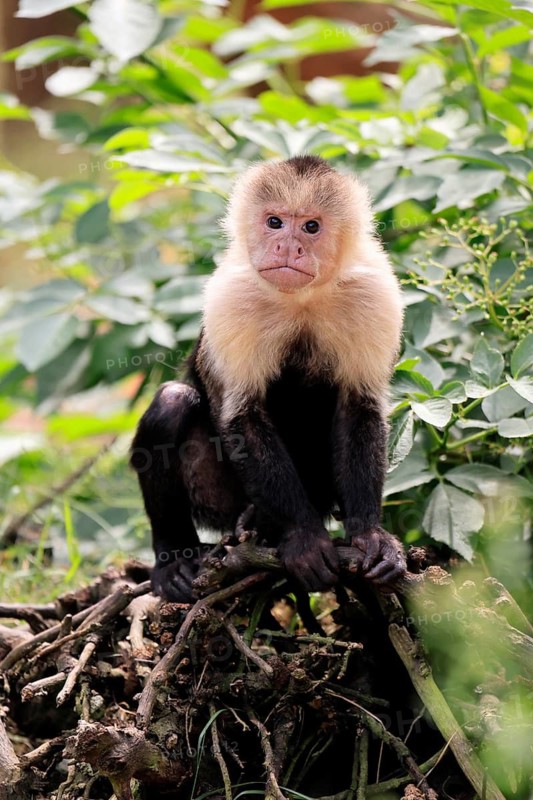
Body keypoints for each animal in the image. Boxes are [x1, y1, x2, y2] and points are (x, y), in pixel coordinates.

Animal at [130, 155, 406, 602]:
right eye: (274, 222)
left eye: (310, 227)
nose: (286, 247)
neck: (302, 300)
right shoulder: (232, 295)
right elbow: (242, 414)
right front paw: (304, 537)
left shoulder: (373, 291)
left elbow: (359, 406)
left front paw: (369, 534)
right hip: (219, 501)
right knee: (172, 402)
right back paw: (177, 555)